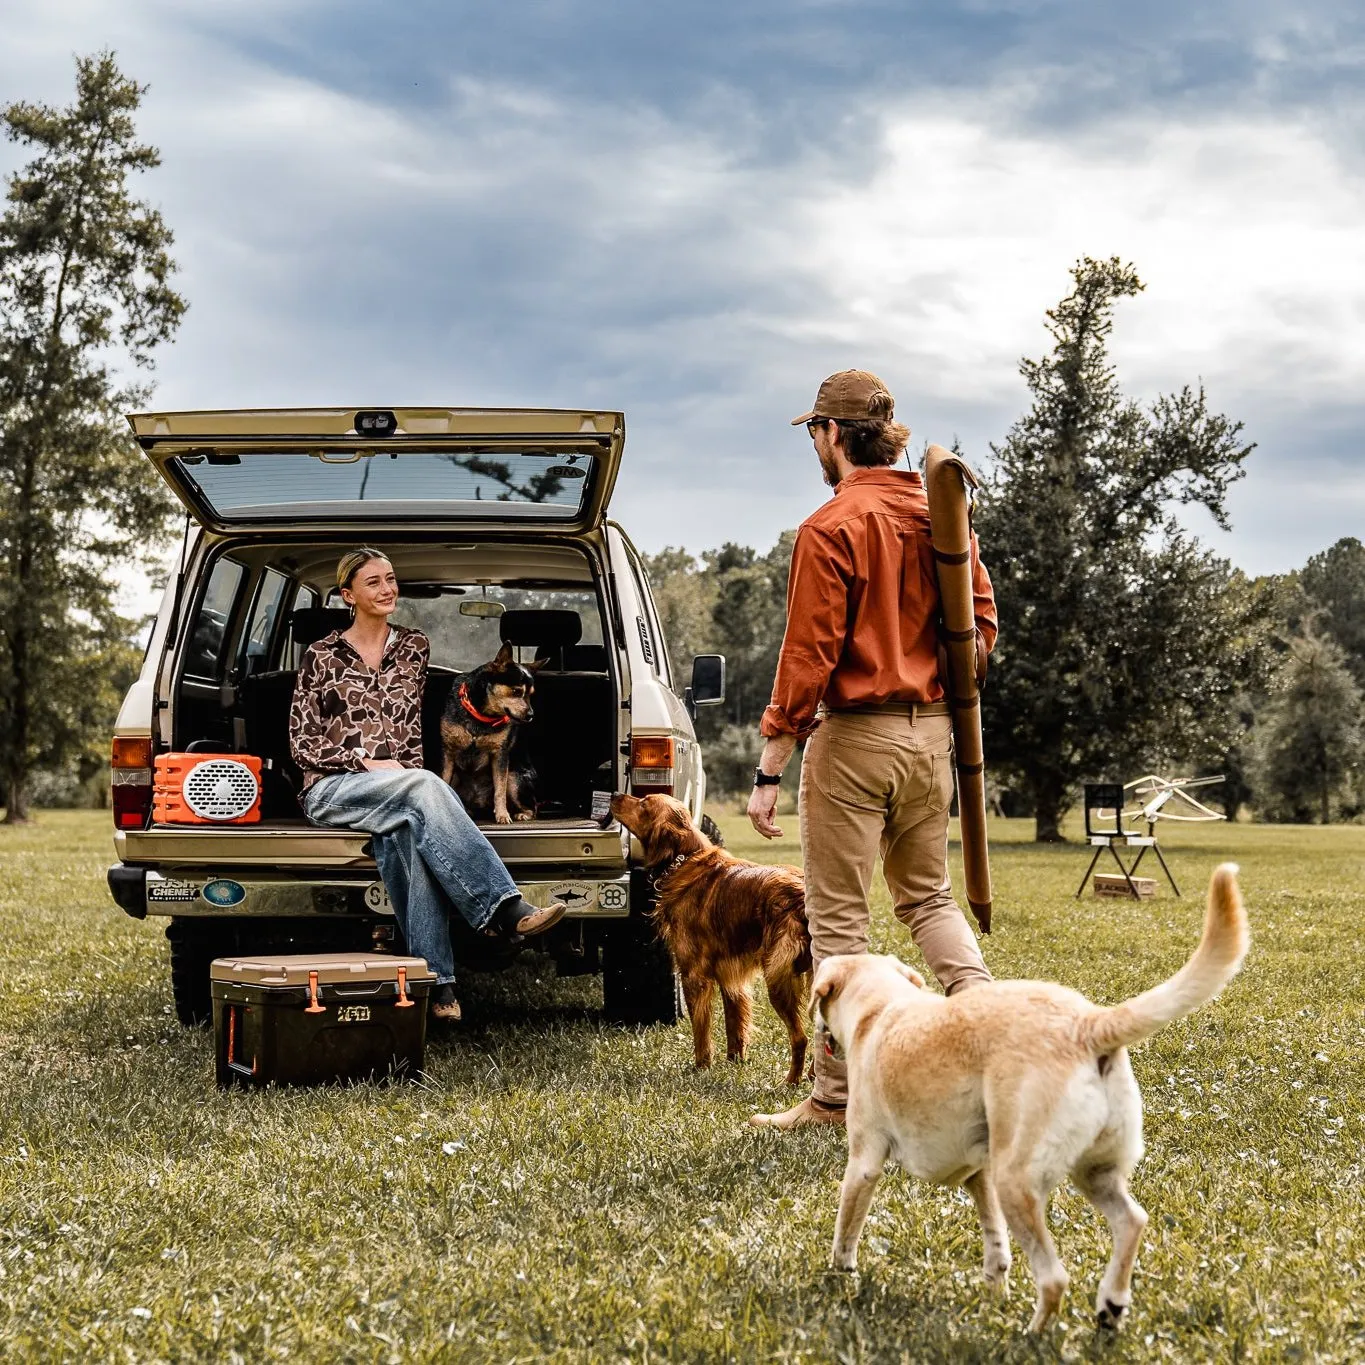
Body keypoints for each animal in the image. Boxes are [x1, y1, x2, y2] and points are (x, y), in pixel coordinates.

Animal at [442, 644, 537, 824]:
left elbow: (499, 790)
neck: (481, 715)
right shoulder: (449, 753)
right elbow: (443, 779)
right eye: (516, 691)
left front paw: (502, 815)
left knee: (533, 807)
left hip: (513, 779)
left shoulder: (500, 755)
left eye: (531, 695)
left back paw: (521, 814)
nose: (531, 715)